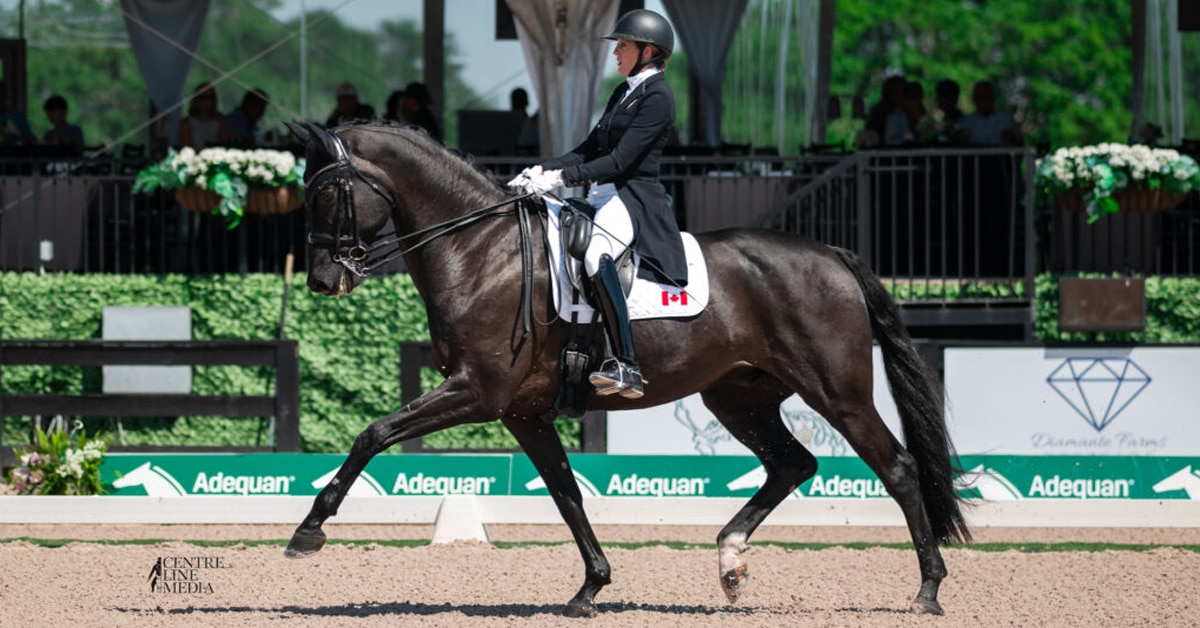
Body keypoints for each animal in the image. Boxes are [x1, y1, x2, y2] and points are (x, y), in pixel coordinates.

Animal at [282, 120, 971, 617]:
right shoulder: (523, 412)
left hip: (837, 391)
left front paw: (309, 531)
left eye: (325, 192)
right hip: (738, 397)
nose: (321, 280)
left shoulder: (477, 391)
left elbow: (373, 434)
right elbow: (565, 493)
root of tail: (829, 252)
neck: (482, 252)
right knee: (793, 464)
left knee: (897, 467)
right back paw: (730, 562)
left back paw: (928, 591)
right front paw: (591, 588)